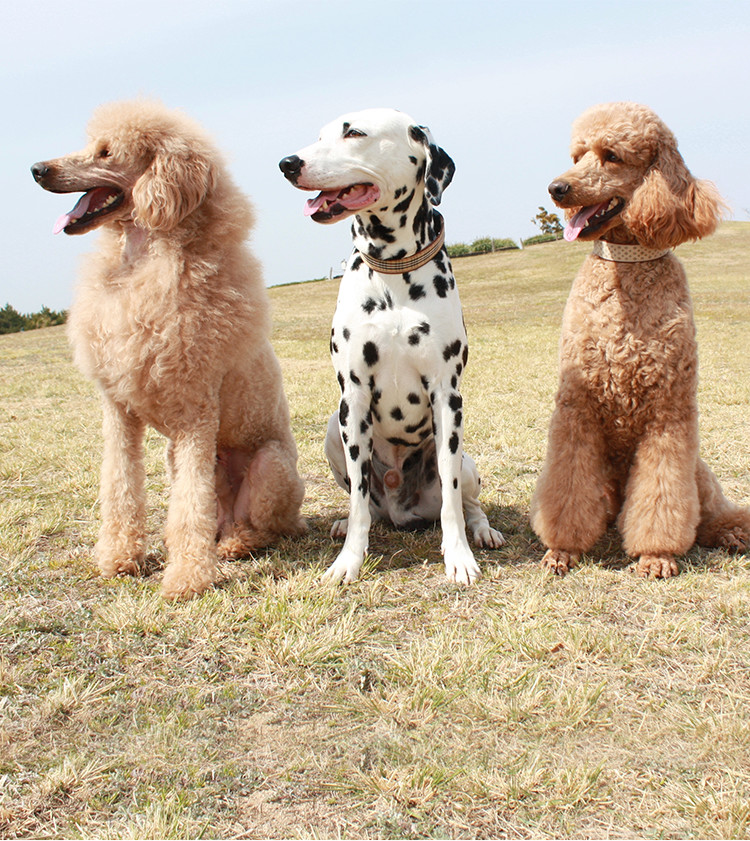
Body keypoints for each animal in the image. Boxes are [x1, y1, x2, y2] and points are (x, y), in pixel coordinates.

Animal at [282, 108, 506, 584]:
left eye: (354, 133)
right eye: (320, 136)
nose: (288, 163)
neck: (392, 271)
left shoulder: (447, 397)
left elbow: (452, 503)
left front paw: (459, 557)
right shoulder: (353, 397)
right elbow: (358, 502)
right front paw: (349, 560)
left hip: (468, 462)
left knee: (468, 502)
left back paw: (484, 532)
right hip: (333, 431)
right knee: (366, 502)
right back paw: (345, 522)